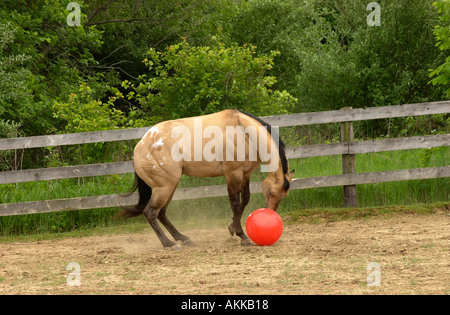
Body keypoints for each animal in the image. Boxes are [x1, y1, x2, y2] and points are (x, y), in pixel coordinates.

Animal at [118, 110, 296, 251]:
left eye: (283, 196)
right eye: (271, 192)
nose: (270, 214)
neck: (244, 131)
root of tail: (141, 146)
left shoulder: (245, 175)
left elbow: (244, 201)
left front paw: (232, 227)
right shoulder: (233, 175)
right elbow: (235, 204)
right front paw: (242, 236)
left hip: (170, 186)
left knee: (161, 213)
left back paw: (183, 238)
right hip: (164, 187)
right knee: (150, 212)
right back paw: (170, 244)